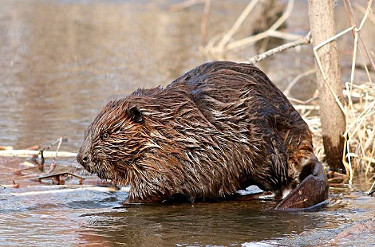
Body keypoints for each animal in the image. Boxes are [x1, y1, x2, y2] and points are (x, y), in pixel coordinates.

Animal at [77, 61, 328, 208]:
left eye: (105, 135)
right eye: (90, 131)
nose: (82, 158)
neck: (166, 123)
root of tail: (307, 151)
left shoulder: (164, 157)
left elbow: (154, 186)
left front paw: (124, 202)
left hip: (268, 150)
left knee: (280, 183)